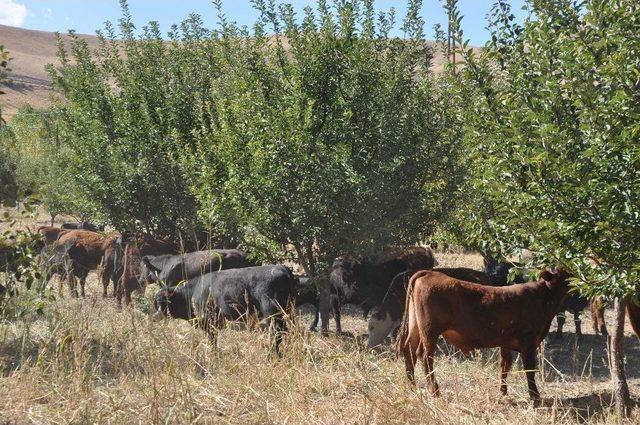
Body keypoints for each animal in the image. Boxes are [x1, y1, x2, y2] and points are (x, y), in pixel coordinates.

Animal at [152, 264, 296, 354]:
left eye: (162, 302)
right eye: (156, 302)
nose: (155, 316)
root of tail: (281, 268)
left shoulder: (210, 321)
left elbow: (212, 340)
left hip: (272, 311)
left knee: (277, 332)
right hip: (288, 311)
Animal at [400, 268, 568, 404]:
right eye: (566, 276)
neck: (542, 297)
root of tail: (429, 273)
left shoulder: (505, 343)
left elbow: (504, 366)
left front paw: (503, 392)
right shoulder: (529, 342)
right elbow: (530, 371)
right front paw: (535, 396)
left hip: (416, 327)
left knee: (409, 351)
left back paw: (412, 386)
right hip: (430, 332)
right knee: (425, 356)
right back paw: (435, 392)